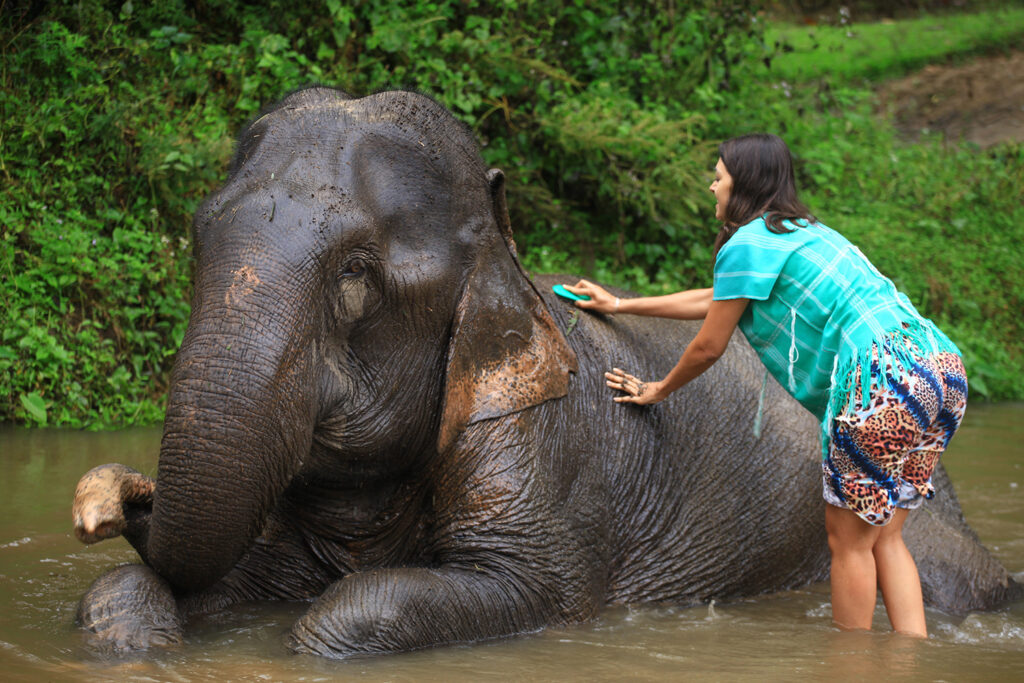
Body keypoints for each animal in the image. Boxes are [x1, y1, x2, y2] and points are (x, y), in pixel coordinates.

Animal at [70, 85, 1015, 655]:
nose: (118, 494)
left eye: (356, 271)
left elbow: (515, 589)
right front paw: (137, 631)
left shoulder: (545, 446)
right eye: (198, 236)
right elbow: (154, 584)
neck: (506, 253)